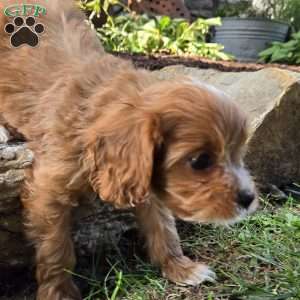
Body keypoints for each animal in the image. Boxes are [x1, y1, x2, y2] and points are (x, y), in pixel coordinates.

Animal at [0, 1, 258, 298]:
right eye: (200, 161)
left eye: (239, 154)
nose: (249, 198)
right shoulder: (48, 189)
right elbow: (56, 247)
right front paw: (59, 291)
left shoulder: (144, 177)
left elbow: (163, 226)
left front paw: (180, 267)